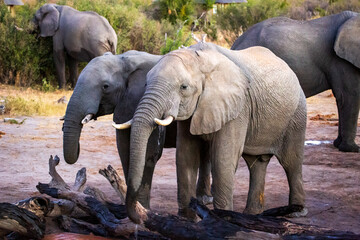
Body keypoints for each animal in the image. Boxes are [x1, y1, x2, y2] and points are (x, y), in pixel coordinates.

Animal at [119, 42, 306, 224]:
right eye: (146, 84)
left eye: (183, 87)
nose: (139, 217)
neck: (200, 58)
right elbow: (186, 156)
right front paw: (187, 219)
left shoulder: (238, 107)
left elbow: (223, 158)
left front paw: (223, 219)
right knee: (257, 163)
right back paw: (252, 215)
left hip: (297, 114)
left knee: (291, 161)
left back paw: (296, 212)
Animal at [231, 10, 360, 152]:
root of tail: (235, 44)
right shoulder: (340, 61)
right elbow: (348, 95)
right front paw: (352, 149)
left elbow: (342, 98)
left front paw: (338, 144)